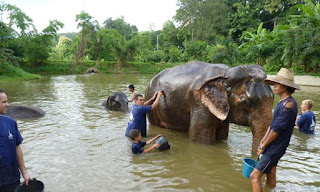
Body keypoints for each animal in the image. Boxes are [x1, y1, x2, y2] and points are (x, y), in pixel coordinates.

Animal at [146, 60, 274, 152]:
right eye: (248, 103)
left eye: (273, 99)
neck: (226, 73)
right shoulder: (200, 103)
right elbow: (201, 140)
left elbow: (223, 133)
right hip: (150, 99)